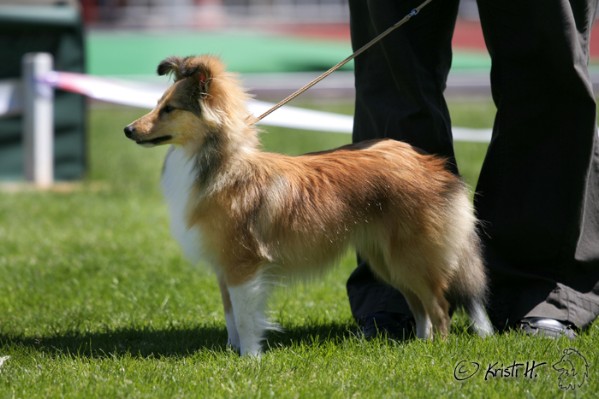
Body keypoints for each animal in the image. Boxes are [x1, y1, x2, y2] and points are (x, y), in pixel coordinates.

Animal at [124, 54, 494, 356]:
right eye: (158, 104)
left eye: (170, 108)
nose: (128, 130)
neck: (220, 165)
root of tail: (432, 164)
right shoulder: (223, 267)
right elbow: (230, 316)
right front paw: (232, 353)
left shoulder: (243, 264)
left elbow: (245, 318)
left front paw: (250, 359)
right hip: (388, 260)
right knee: (420, 306)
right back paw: (418, 345)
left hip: (410, 256)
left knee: (440, 306)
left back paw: (437, 351)